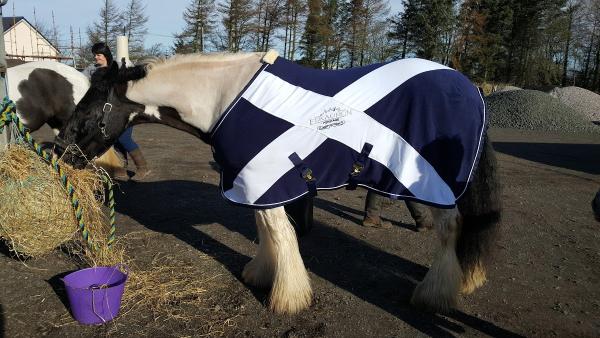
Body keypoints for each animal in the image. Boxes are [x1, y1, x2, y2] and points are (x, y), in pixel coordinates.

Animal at [52, 50, 502, 314]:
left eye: (90, 105)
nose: (60, 152)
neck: (224, 100)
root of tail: (468, 86)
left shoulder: (263, 182)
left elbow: (280, 236)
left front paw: (287, 300)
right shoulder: (255, 187)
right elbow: (267, 233)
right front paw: (260, 275)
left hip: (436, 188)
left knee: (451, 231)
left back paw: (435, 293)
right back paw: (466, 280)